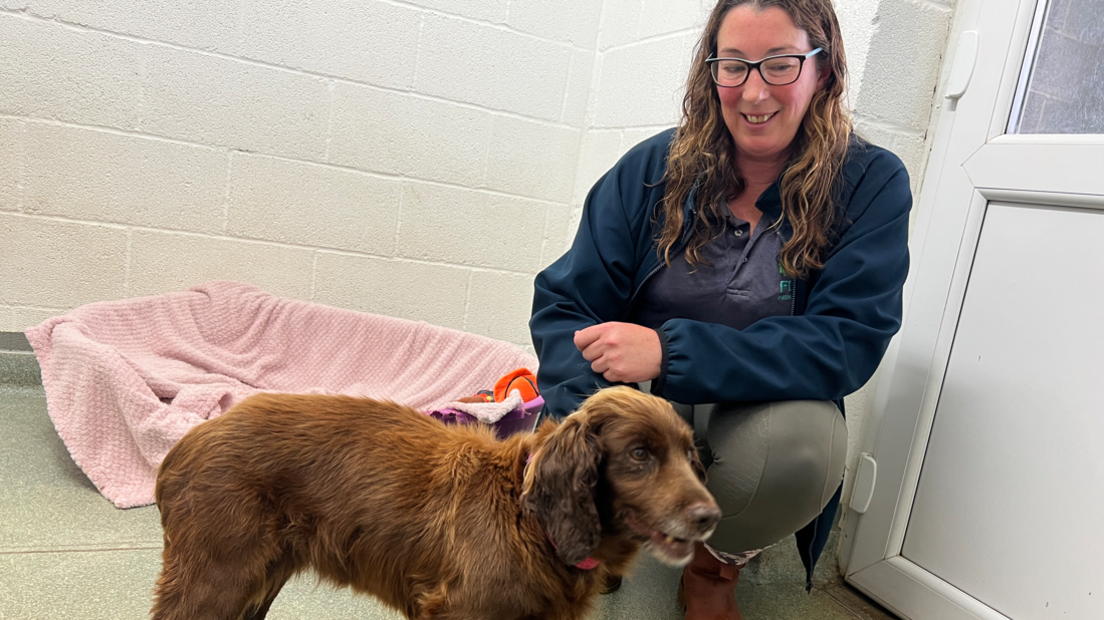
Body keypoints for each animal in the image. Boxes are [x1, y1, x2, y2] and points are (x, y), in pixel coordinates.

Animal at [151, 383, 719, 613]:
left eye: (691, 453)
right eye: (639, 454)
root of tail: (189, 442)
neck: (529, 520)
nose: (710, 517)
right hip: (215, 578)